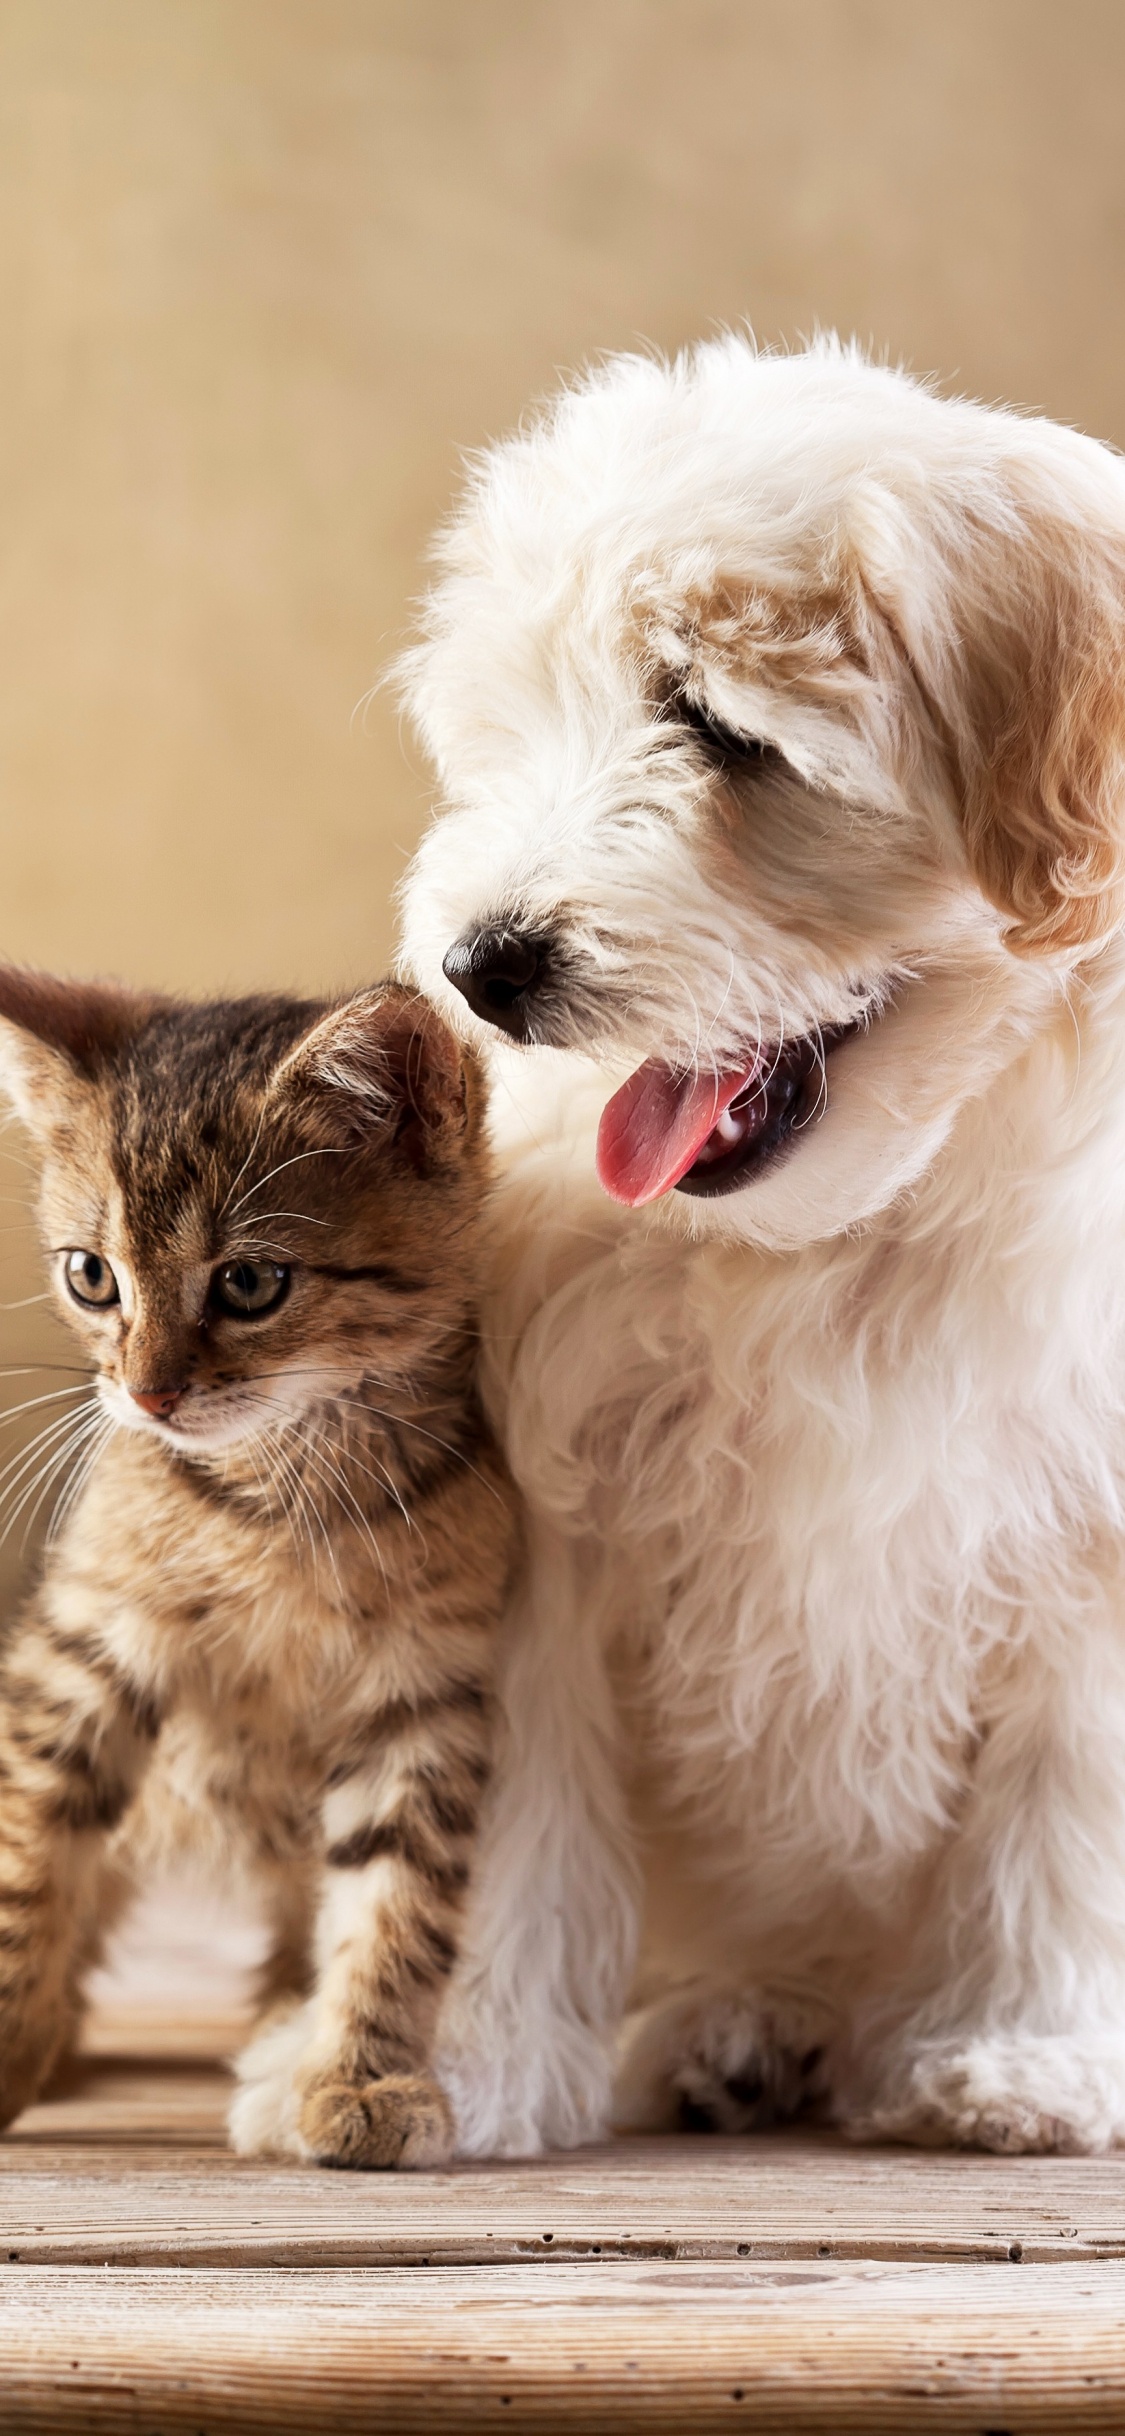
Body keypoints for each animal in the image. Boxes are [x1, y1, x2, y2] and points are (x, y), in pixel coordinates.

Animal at [0, 969, 516, 2172]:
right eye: (91, 1277)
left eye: (247, 1283)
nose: (147, 1395)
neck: (279, 1503)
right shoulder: (84, 1649)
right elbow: (29, 1865)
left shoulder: (425, 1692)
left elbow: (397, 1903)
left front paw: (361, 2076)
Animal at [396, 338, 1125, 2153]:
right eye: (519, 727)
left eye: (721, 730)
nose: (482, 962)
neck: (845, 1240)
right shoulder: (540, 1503)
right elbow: (516, 1788)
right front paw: (451, 2057)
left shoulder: (1092, 1525)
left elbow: (1064, 1791)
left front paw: (1027, 2051)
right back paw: (737, 2028)